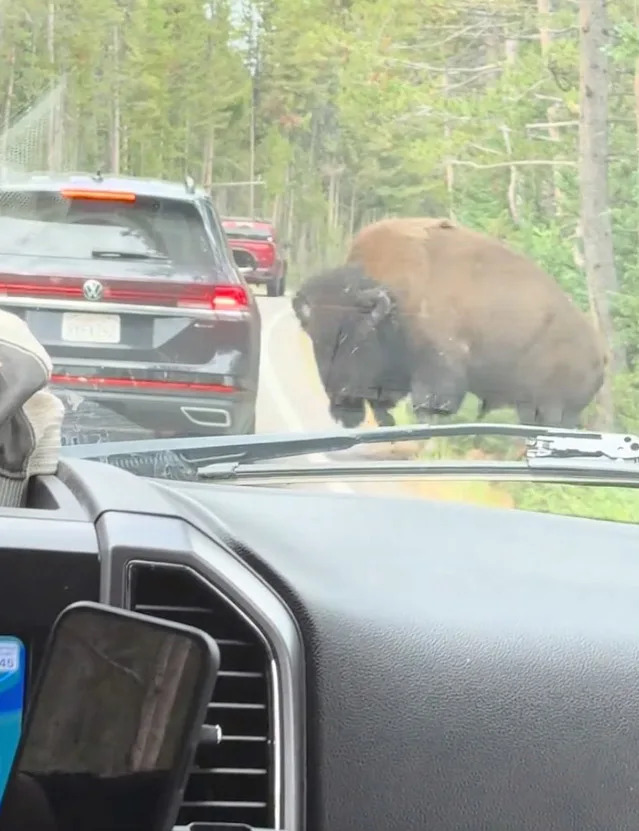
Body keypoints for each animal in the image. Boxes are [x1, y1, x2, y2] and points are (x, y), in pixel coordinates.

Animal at [292, 217, 606, 429]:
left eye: (354, 337)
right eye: (314, 339)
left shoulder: (438, 369)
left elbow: (428, 407)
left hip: (554, 409)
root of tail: (599, 354)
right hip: (531, 406)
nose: (340, 404)